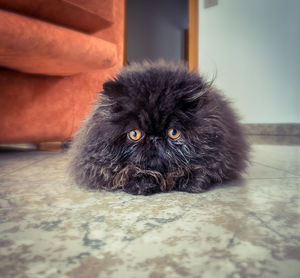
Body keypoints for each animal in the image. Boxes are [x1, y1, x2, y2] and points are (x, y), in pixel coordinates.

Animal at [69, 60, 250, 195]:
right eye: (135, 134)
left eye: (174, 132)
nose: (155, 138)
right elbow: (126, 172)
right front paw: (142, 184)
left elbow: (200, 168)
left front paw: (190, 183)